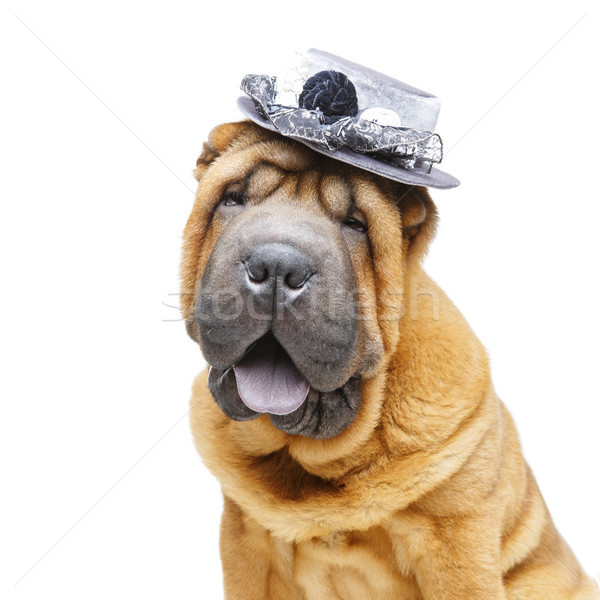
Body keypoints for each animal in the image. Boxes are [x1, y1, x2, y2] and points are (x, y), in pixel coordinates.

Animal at [179, 119, 600, 596]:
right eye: (233, 199)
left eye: (355, 225)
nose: (276, 266)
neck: (314, 460)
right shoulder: (247, 542)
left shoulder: (456, 541)